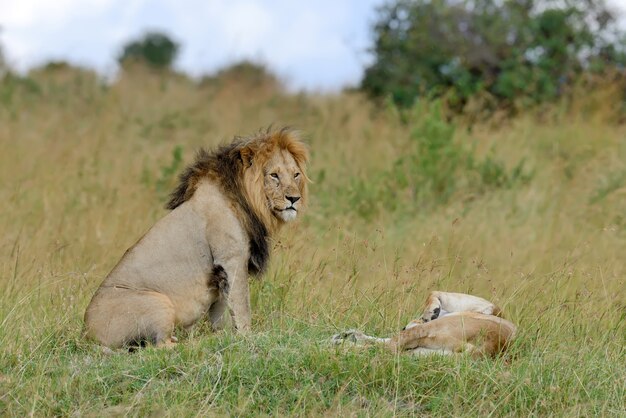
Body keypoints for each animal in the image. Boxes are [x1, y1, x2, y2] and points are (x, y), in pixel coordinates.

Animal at [83, 128, 308, 350]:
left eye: (296, 175)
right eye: (274, 175)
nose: (294, 199)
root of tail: (87, 336)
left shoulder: (221, 274)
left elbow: (223, 313)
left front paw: (224, 336)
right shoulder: (232, 259)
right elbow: (242, 306)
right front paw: (248, 337)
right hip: (158, 303)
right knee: (159, 346)